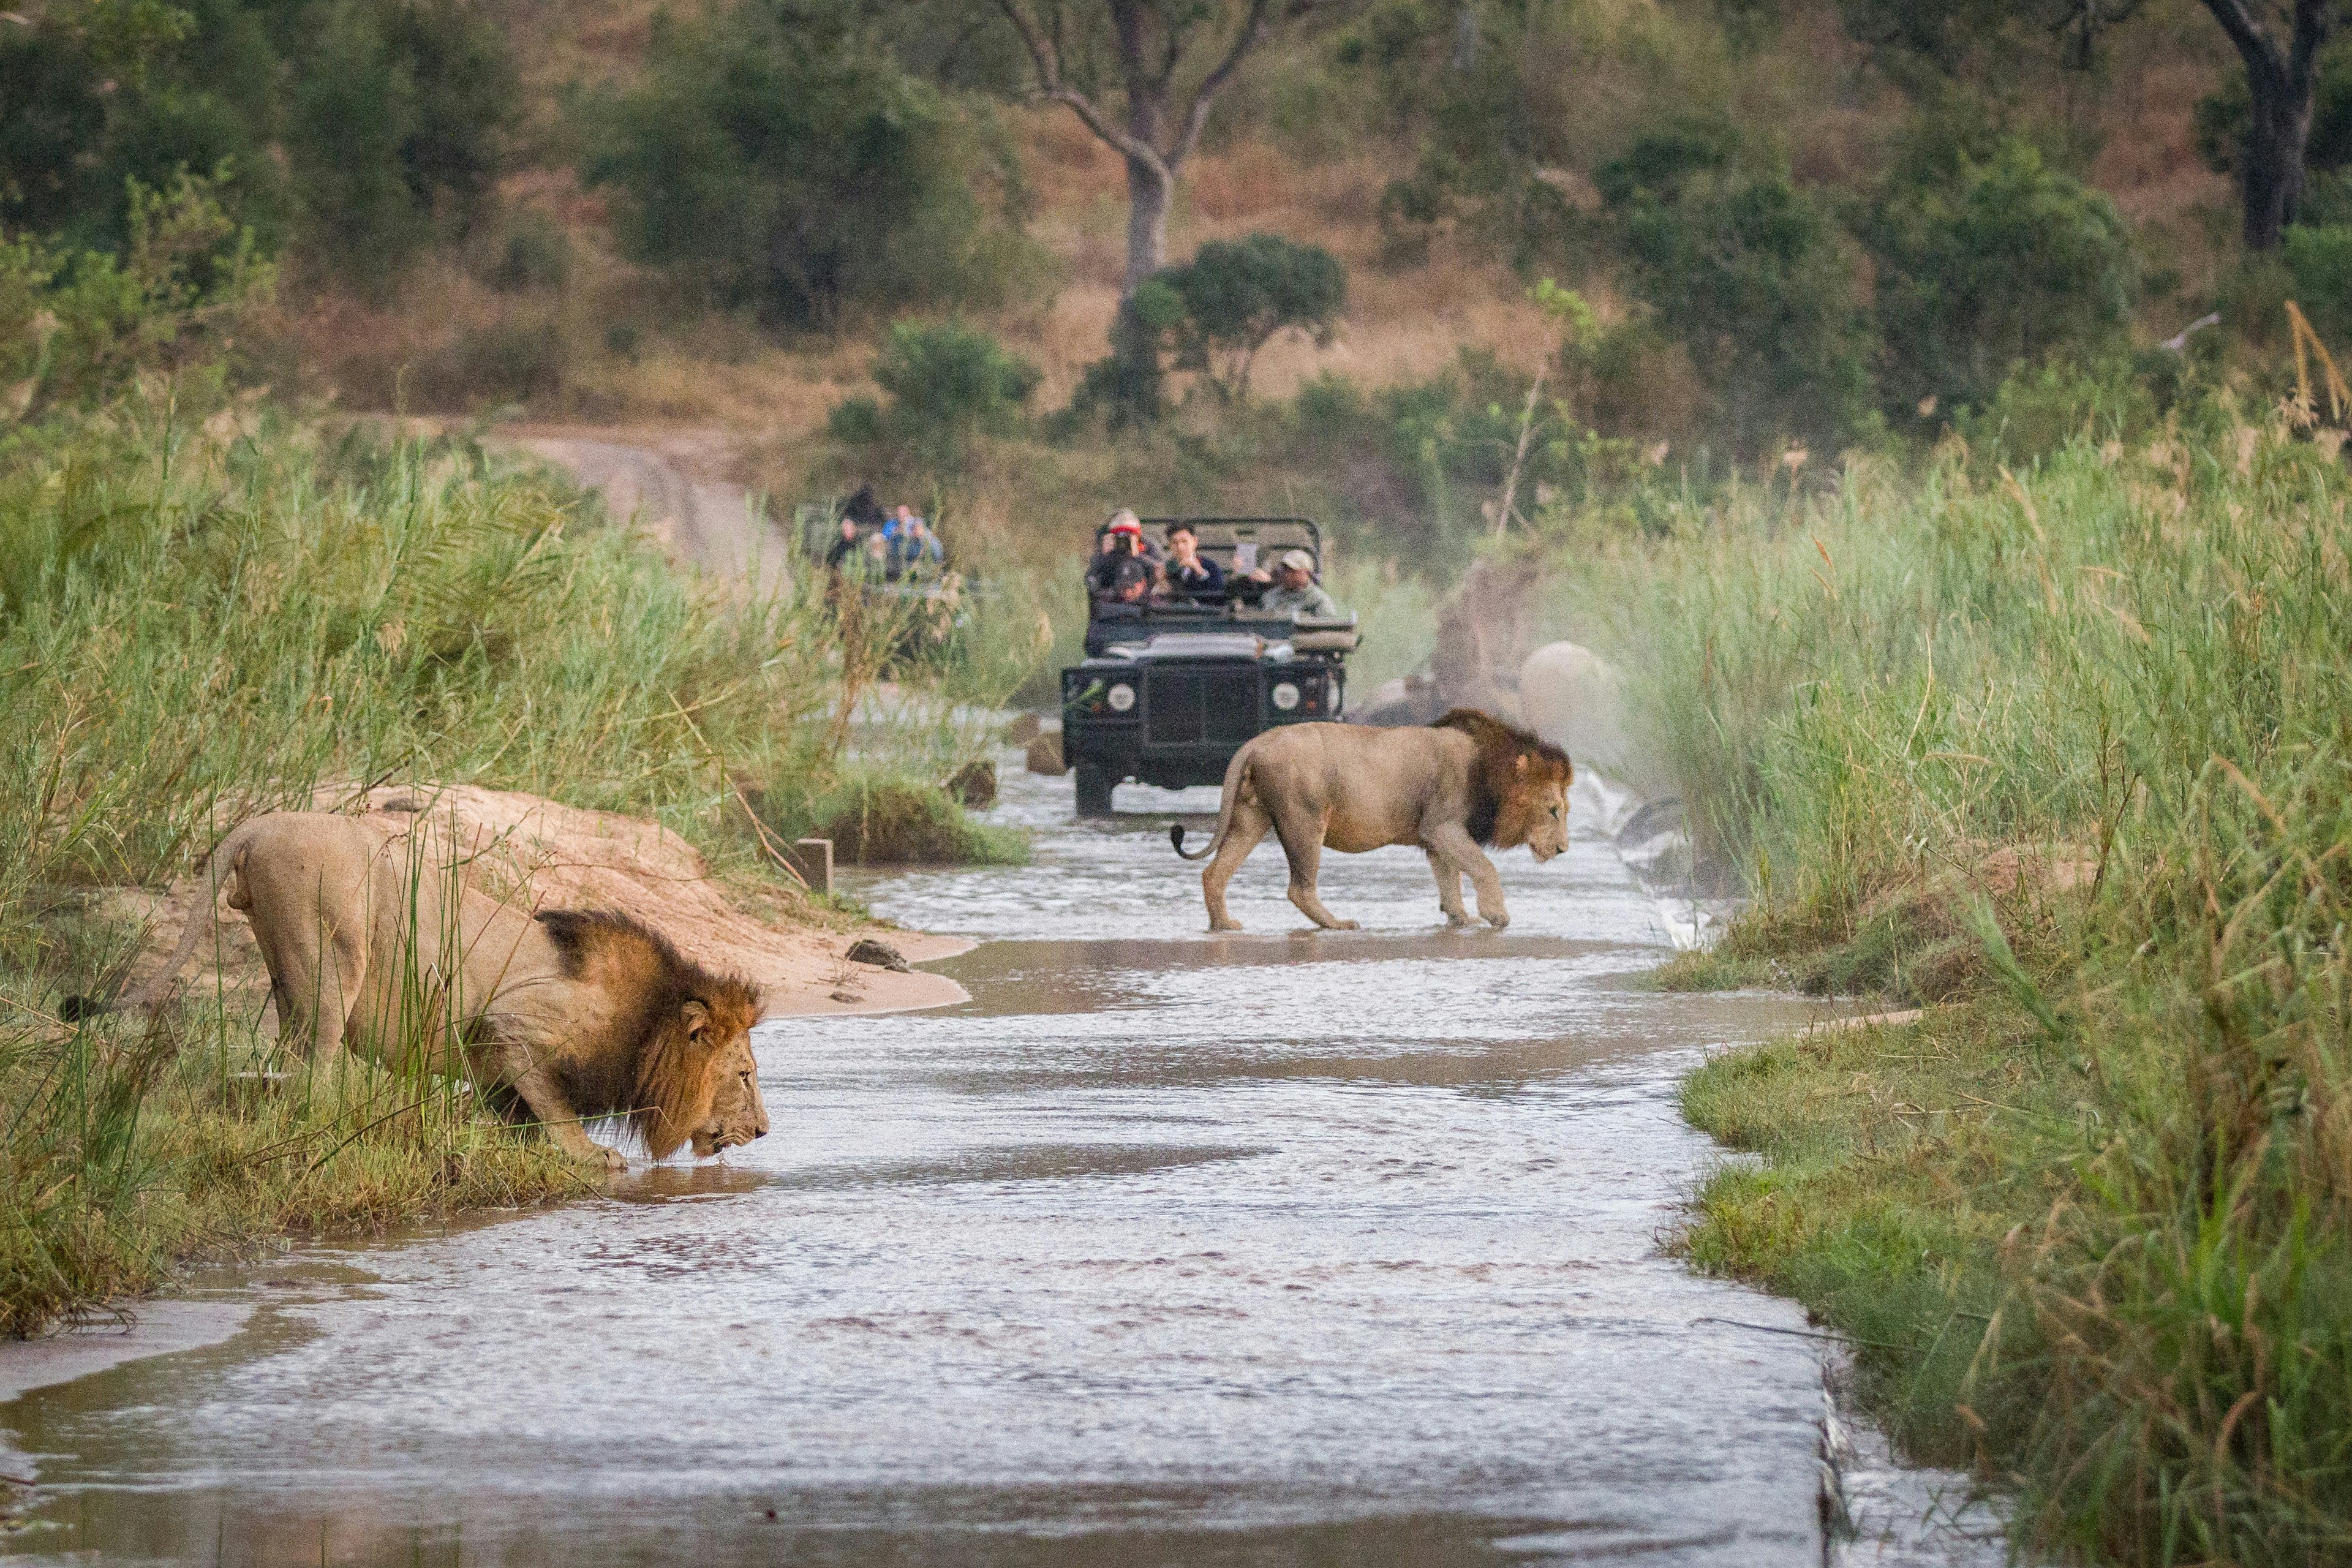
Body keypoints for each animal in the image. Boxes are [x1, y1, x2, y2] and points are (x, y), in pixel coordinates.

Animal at [112, 818, 771, 1170]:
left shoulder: (501, 1069)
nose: (765, 1132)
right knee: (312, 1073)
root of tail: (262, 821)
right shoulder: (514, 1024)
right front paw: (591, 1156)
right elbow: (556, 1110)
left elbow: (504, 1110)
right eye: (744, 1075)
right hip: (332, 961)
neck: (647, 1024)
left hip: (289, 973)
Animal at [1171, 710, 1571, 930]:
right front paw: (1496, 915)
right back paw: (1338, 924)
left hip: (1251, 818)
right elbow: (1483, 866)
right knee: (1299, 888)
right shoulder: (1442, 825)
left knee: (1214, 873)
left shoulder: (1435, 836)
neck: (1490, 769)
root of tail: (1254, 743)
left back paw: (1223, 925)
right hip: (1305, 820)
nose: (1564, 849)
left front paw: (1460, 919)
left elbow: (1450, 879)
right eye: (1554, 810)